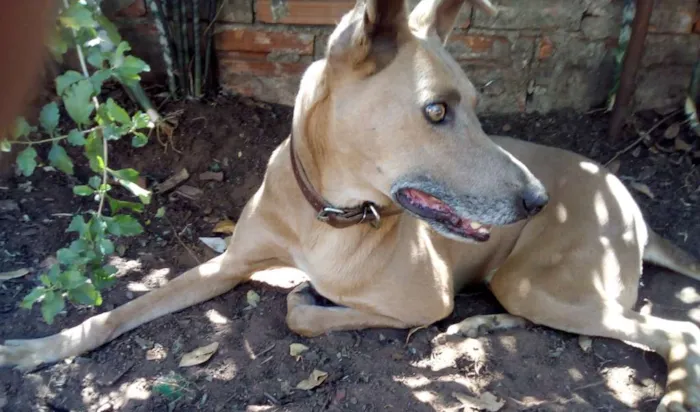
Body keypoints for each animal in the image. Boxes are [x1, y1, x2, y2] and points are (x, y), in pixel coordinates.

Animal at [1, 1, 700, 410]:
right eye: (437, 110)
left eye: (478, 105)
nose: (537, 201)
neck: (329, 212)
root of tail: (626, 199)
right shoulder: (228, 263)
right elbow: (120, 311)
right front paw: (39, 350)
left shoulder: (426, 301)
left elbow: (299, 314)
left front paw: (308, 296)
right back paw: (480, 328)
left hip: (539, 282)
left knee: (678, 331)